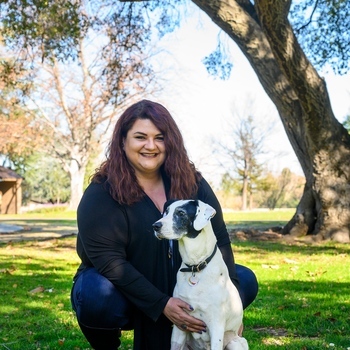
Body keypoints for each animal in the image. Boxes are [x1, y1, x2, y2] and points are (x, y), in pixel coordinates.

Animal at [154, 200, 249, 350]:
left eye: (181, 213)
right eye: (166, 212)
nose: (155, 226)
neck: (195, 266)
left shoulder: (216, 326)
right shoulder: (180, 325)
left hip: (236, 342)